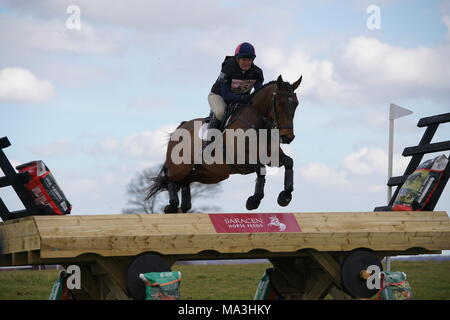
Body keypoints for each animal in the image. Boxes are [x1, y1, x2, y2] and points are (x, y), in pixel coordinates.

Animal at [148, 75, 302, 214]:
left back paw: (183, 207)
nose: (287, 137)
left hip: (212, 174)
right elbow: (260, 169)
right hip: (179, 167)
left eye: (296, 104)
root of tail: (180, 127)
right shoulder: (240, 160)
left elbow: (289, 162)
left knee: (186, 180)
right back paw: (172, 206)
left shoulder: (271, 157)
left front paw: (285, 197)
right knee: (170, 179)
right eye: (280, 103)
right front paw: (253, 201)